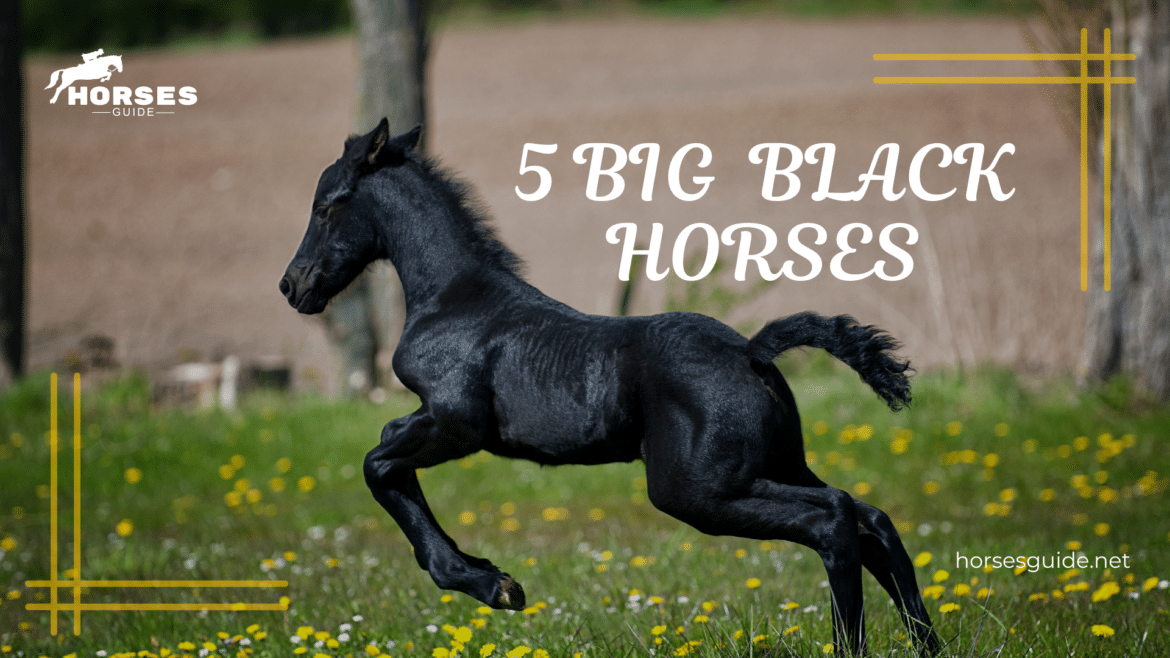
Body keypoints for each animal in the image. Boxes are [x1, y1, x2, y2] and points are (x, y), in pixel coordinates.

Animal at [280, 119, 942, 656]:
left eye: (325, 206)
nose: (293, 286)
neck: (455, 299)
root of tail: (752, 351)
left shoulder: (455, 423)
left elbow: (378, 463)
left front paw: (493, 584)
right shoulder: (435, 422)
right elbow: (387, 458)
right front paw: (490, 576)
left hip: (697, 490)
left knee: (835, 520)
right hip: (773, 465)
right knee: (871, 518)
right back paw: (927, 645)